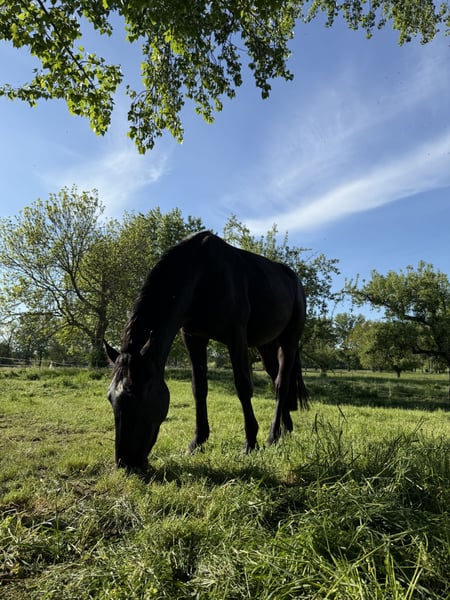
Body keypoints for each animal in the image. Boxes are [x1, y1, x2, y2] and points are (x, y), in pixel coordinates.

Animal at [105, 230, 308, 472]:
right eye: (110, 398)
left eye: (140, 396)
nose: (126, 463)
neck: (202, 274)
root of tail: (294, 280)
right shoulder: (193, 338)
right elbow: (199, 388)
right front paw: (197, 442)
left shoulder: (235, 337)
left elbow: (242, 387)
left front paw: (250, 444)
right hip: (266, 346)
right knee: (277, 379)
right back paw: (285, 430)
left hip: (289, 340)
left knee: (281, 383)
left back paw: (272, 436)